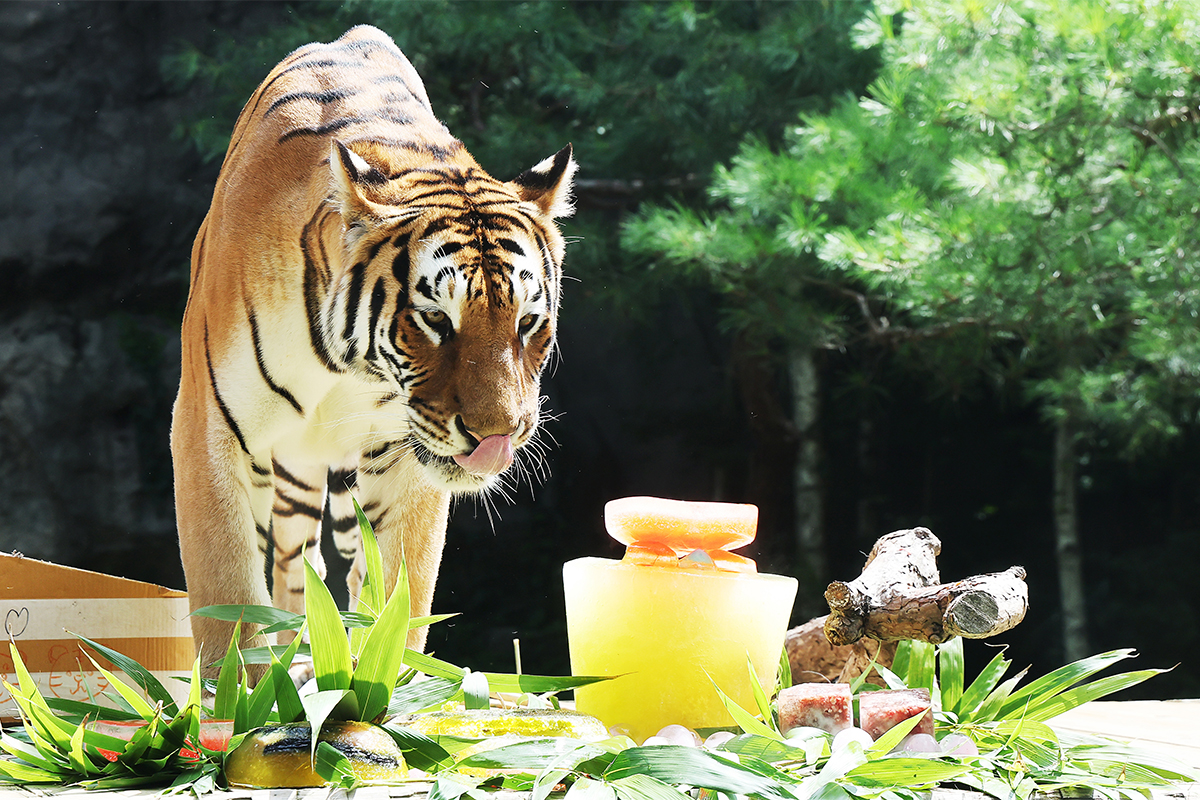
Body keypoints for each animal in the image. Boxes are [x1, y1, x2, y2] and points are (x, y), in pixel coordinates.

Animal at [171, 24, 576, 669]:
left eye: (527, 321)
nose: (498, 436)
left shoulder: (408, 460)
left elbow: (399, 598)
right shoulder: (210, 426)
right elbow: (228, 596)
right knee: (293, 567)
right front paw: (237, 689)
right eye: (435, 319)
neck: (348, 366)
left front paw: (384, 681)